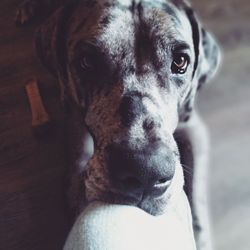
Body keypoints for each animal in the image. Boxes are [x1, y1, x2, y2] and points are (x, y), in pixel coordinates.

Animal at [16, 0, 221, 248]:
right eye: (87, 62)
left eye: (180, 62)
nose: (146, 172)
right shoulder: (75, 127)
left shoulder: (193, 128)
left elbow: (197, 194)